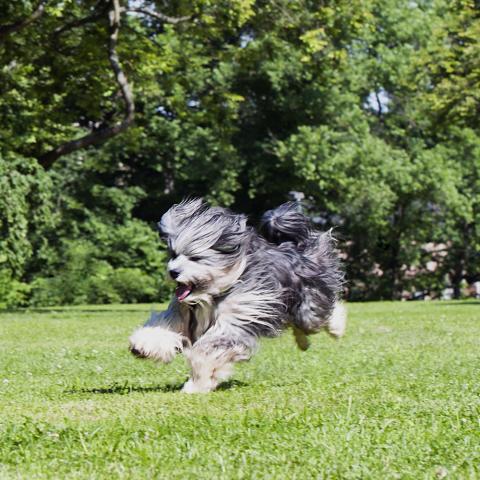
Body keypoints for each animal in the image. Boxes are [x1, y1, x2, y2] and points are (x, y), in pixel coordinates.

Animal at [128, 199, 344, 394]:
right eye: (173, 254)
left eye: (195, 258)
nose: (172, 272)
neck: (213, 293)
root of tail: (294, 249)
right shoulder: (183, 314)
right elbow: (164, 329)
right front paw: (142, 346)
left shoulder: (237, 317)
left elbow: (204, 350)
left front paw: (197, 384)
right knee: (298, 325)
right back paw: (303, 343)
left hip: (307, 304)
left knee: (322, 313)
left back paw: (336, 328)